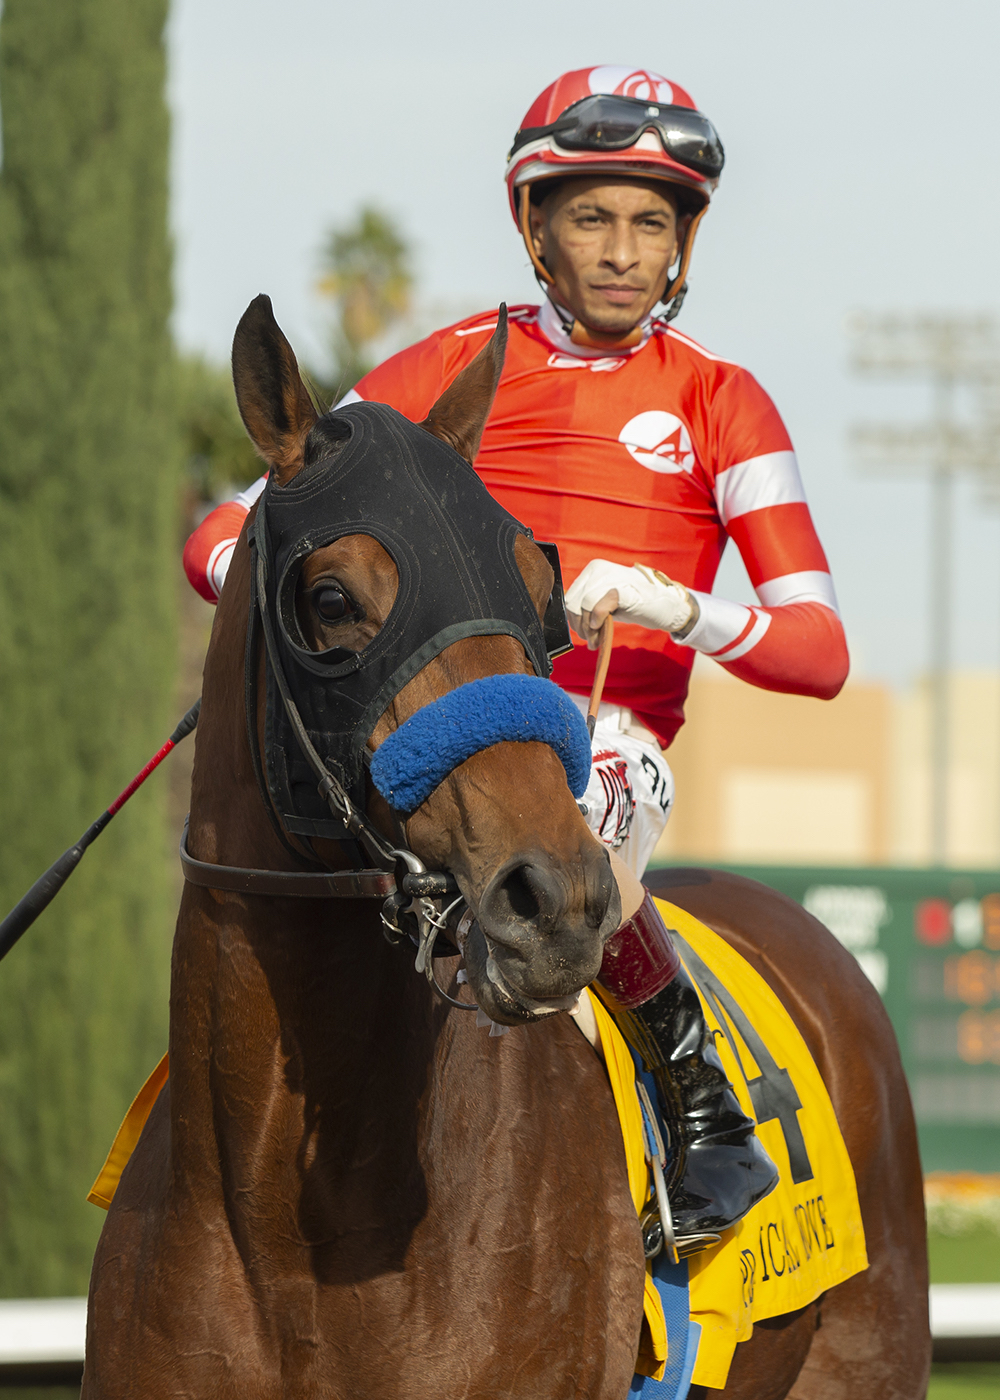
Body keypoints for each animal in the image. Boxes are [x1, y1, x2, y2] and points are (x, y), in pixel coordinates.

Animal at [83, 298, 924, 1400]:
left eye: (536, 581)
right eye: (332, 599)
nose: (557, 902)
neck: (281, 1223)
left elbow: (813, 627)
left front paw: (637, 592)